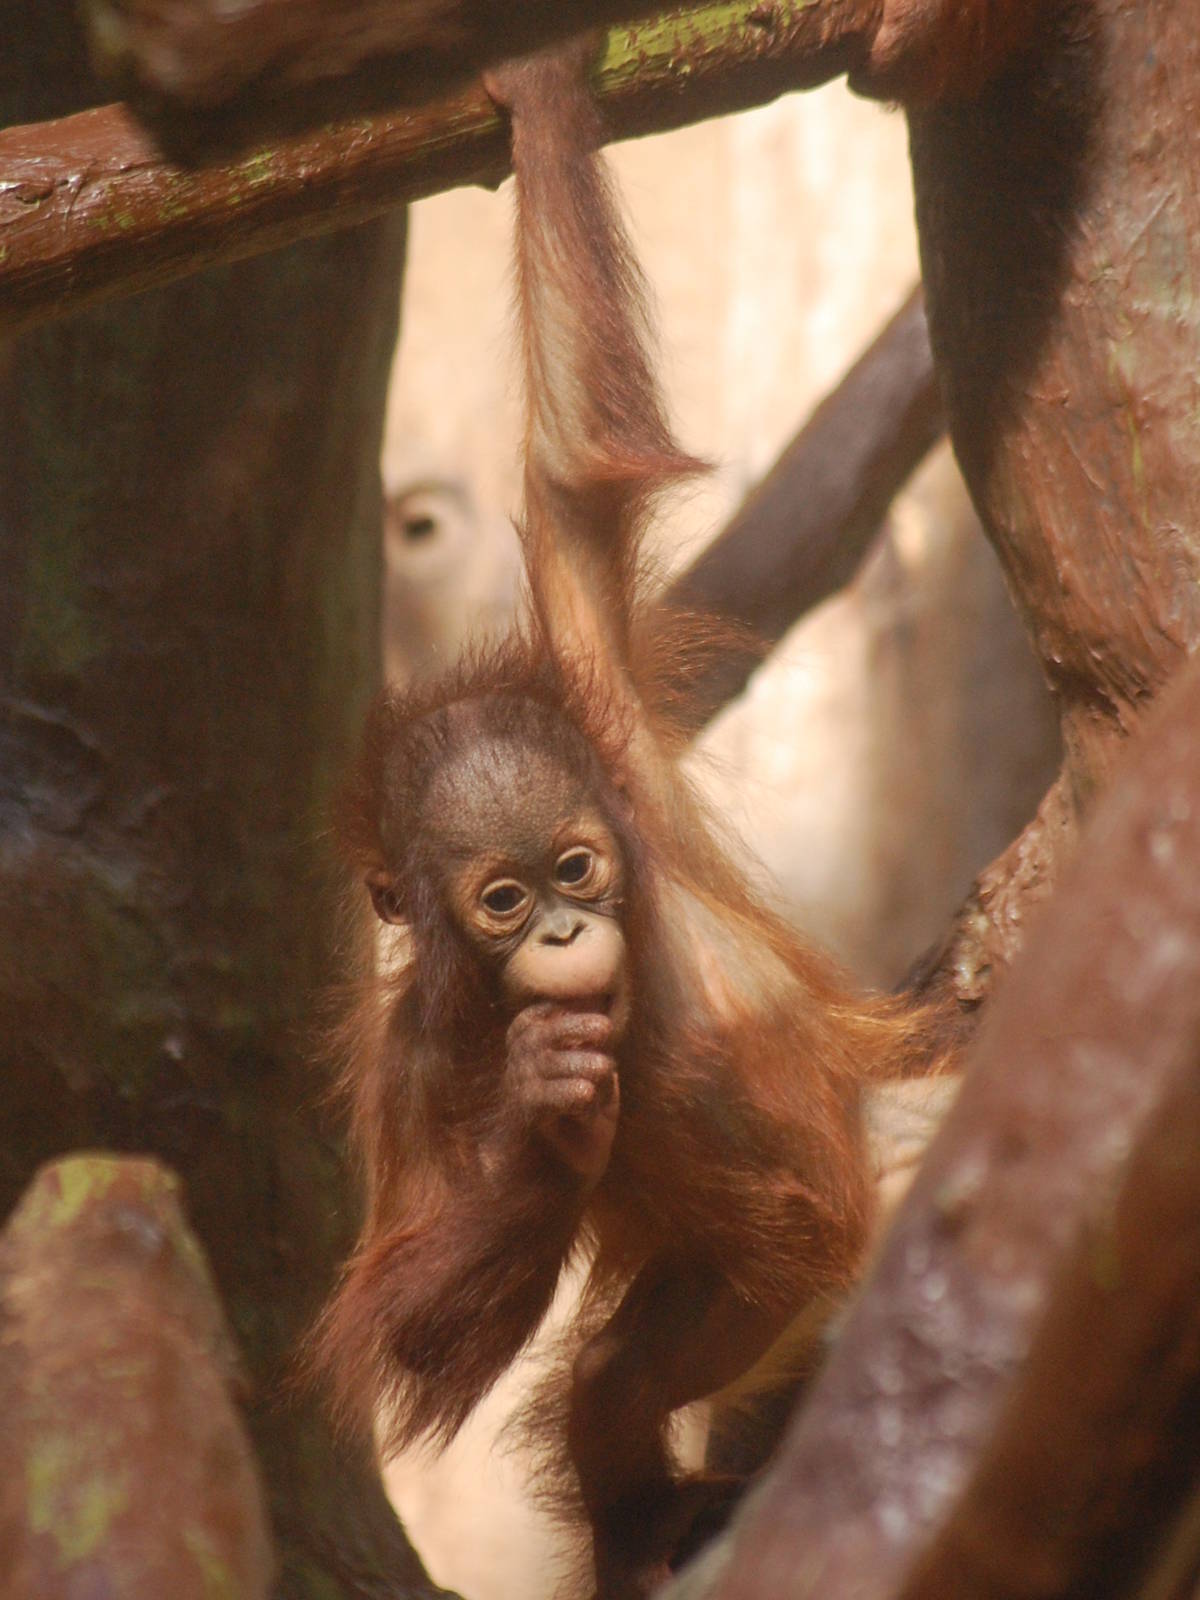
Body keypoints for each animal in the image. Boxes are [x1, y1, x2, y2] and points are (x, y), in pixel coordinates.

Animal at [311, 40, 945, 1600]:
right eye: (501, 900)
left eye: (576, 865)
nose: (561, 931)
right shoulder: (414, 1058)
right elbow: (401, 1311)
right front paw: (547, 1115)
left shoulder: (600, 716)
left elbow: (572, 470)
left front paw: (533, 81)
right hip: (762, 1296)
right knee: (606, 1381)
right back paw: (645, 1526)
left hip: (833, 1216)